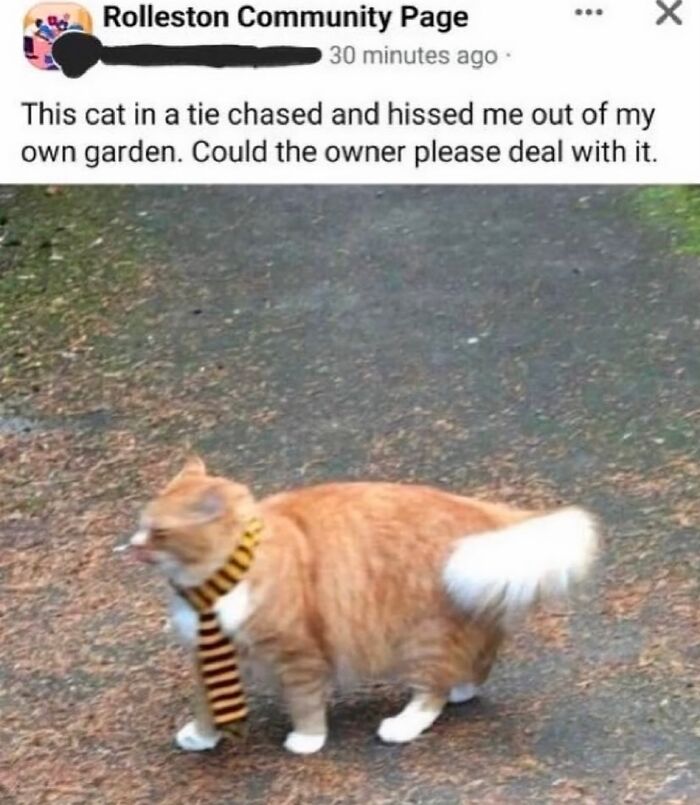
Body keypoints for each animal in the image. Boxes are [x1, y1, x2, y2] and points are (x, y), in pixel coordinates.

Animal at [130, 458, 596, 752]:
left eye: (159, 532)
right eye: (142, 526)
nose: (131, 545)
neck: (212, 587)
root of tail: (479, 510)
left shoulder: (298, 654)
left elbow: (304, 703)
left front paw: (307, 741)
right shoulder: (204, 656)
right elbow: (206, 704)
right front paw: (202, 737)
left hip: (424, 638)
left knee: (431, 693)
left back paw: (402, 726)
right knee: (475, 665)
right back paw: (462, 690)